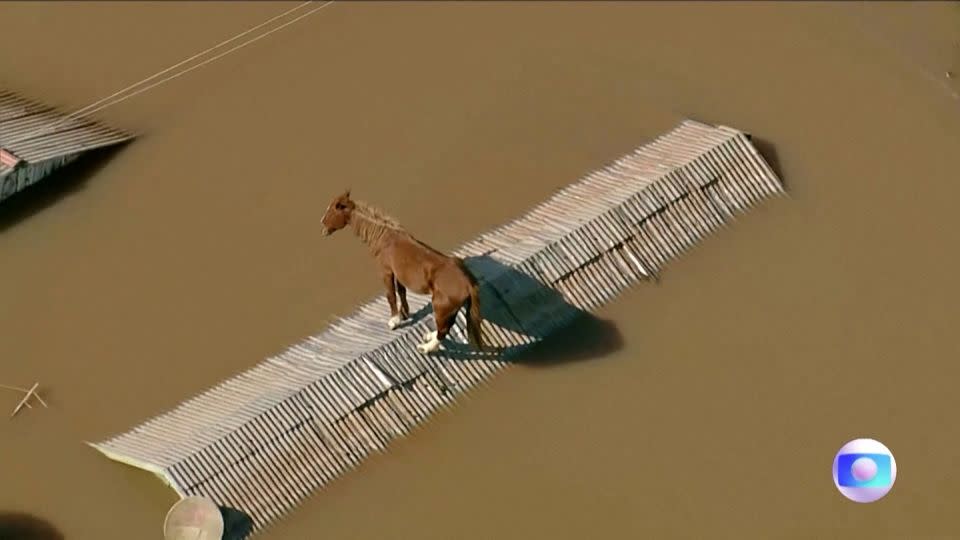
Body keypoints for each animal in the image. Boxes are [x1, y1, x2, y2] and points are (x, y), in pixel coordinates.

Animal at [320, 191, 484, 354]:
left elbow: (391, 295)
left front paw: (394, 321)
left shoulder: (386, 271)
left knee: (443, 330)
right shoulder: (398, 273)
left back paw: (425, 347)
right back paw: (429, 336)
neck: (384, 238)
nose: (322, 227)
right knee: (447, 326)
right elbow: (401, 292)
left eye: (332, 210)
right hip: (450, 309)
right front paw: (404, 314)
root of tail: (468, 283)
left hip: (441, 307)